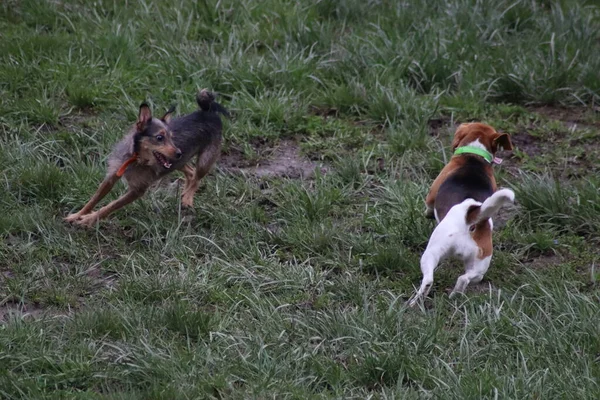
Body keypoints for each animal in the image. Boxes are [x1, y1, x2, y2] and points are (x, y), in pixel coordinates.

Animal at [63, 91, 227, 228]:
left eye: (172, 138)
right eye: (160, 138)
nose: (179, 152)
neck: (136, 158)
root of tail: (209, 112)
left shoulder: (137, 190)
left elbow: (109, 207)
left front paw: (88, 220)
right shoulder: (111, 176)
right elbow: (94, 199)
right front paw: (78, 215)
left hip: (204, 161)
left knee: (197, 177)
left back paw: (188, 198)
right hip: (178, 162)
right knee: (191, 172)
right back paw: (185, 194)